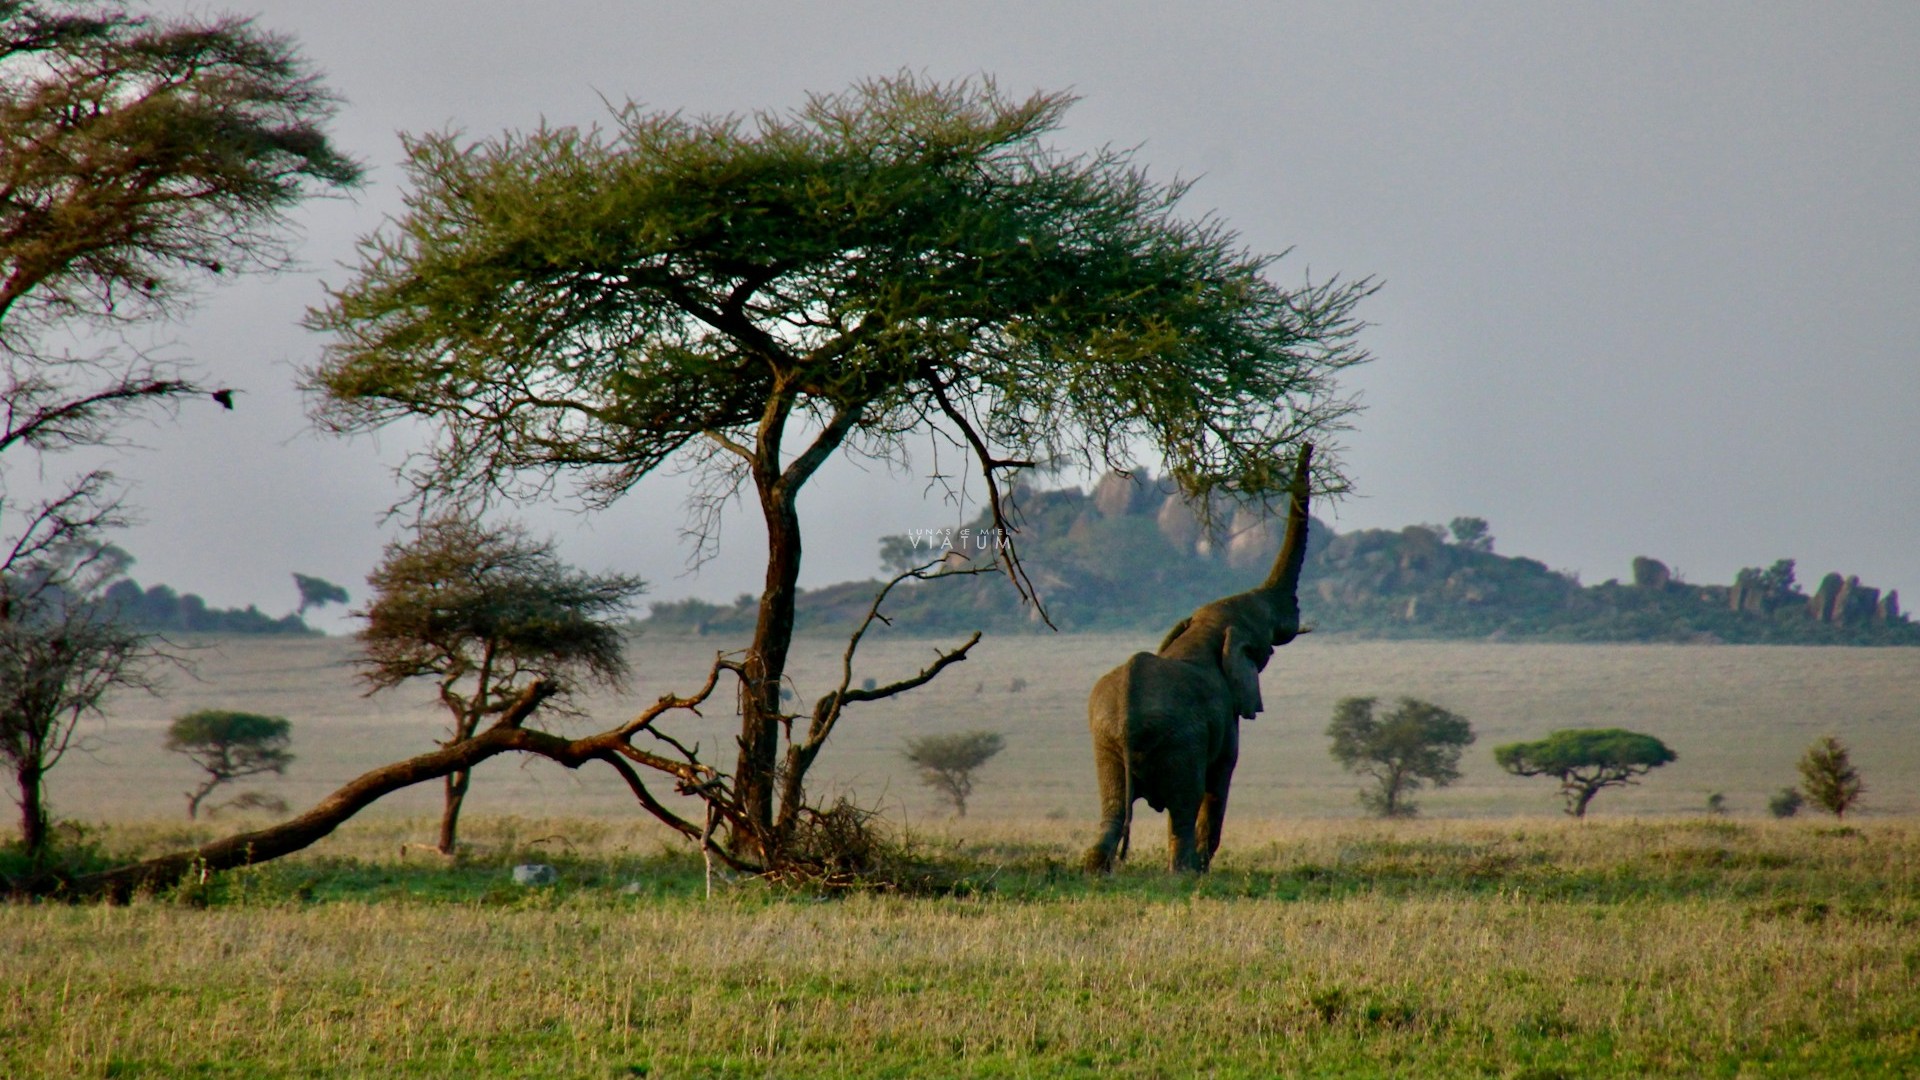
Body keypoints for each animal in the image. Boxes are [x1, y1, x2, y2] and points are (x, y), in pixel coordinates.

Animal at [1082, 441, 1320, 868]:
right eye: (1265, 638)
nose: (1307, 444)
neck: (1205, 630)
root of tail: (1126, 711)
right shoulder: (1226, 719)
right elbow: (1220, 780)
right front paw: (1204, 867)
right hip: (1180, 739)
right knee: (1184, 803)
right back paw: (1185, 872)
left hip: (1104, 741)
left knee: (1112, 809)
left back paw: (1096, 869)